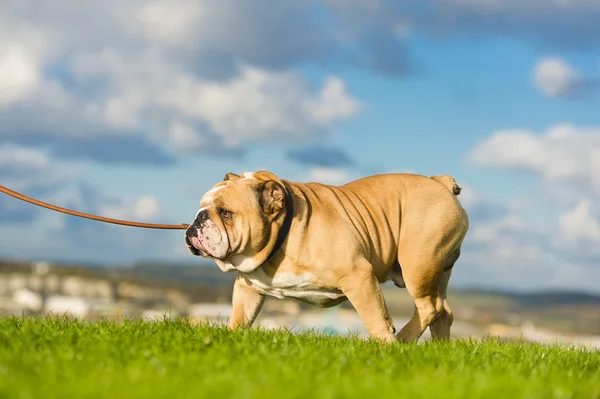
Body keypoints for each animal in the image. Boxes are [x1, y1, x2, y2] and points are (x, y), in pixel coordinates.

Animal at [185, 171, 472, 344]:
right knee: (443, 311)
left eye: (225, 212)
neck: (281, 237)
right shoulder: (248, 287)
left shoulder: (359, 276)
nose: (198, 218)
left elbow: (375, 316)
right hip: (437, 269)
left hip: (418, 263)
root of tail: (440, 182)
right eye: (201, 206)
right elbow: (240, 316)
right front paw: (231, 338)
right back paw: (438, 349)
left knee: (429, 306)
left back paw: (402, 339)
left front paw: (385, 344)